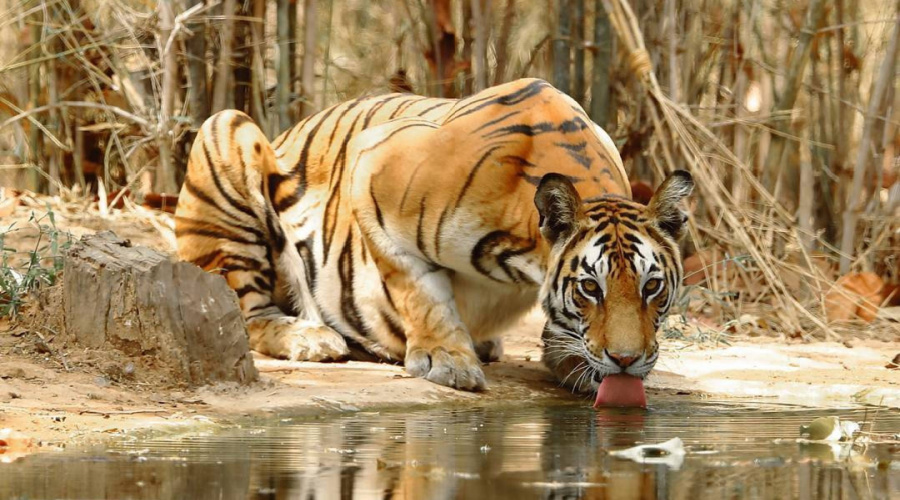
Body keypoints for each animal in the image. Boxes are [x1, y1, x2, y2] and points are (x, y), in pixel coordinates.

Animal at [176, 78, 696, 392]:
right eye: (590, 288)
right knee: (244, 314)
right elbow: (419, 290)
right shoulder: (372, 169)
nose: (626, 361)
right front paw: (448, 361)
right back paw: (311, 338)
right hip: (226, 131)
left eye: (652, 286)